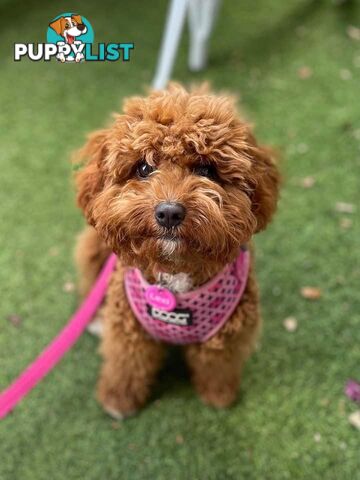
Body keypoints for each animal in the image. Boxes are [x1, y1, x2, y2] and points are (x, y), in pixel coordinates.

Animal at [74, 84, 282, 418]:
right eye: (144, 167)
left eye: (206, 169)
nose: (169, 213)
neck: (175, 276)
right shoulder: (129, 333)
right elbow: (126, 364)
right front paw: (118, 400)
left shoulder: (225, 337)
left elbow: (217, 367)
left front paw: (219, 396)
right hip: (95, 249)